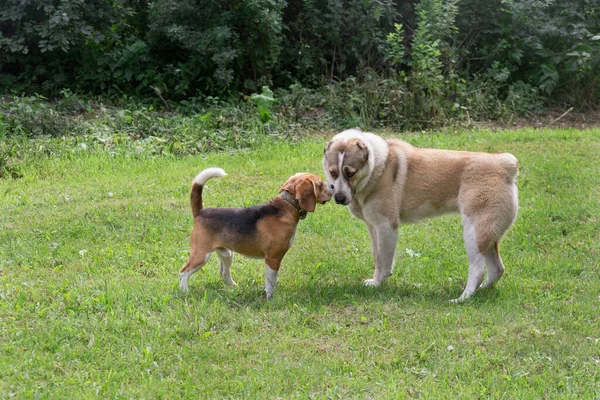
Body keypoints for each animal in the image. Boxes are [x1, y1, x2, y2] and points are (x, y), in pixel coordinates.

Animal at [180, 167, 336, 298]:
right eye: (320, 184)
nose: (333, 186)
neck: (286, 205)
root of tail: (201, 212)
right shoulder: (273, 258)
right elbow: (271, 282)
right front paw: (270, 298)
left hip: (227, 254)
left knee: (224, 273)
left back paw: (234, 287)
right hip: (201, 255)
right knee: (183, 272)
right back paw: (184, 292)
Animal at [322, 130, 516, 302]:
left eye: (350, 173)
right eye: (333, 173)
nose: (339, 198)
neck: (378, 167)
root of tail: (505, 163)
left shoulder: (386, 226)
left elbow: (383, 260)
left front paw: (378, 284)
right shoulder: (373, 227)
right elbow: (377, 256)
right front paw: (374, 282)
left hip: (474, 233)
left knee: (478, 270)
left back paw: (462, 299)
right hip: (487, 236)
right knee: (497, 269)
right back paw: (481, 290)